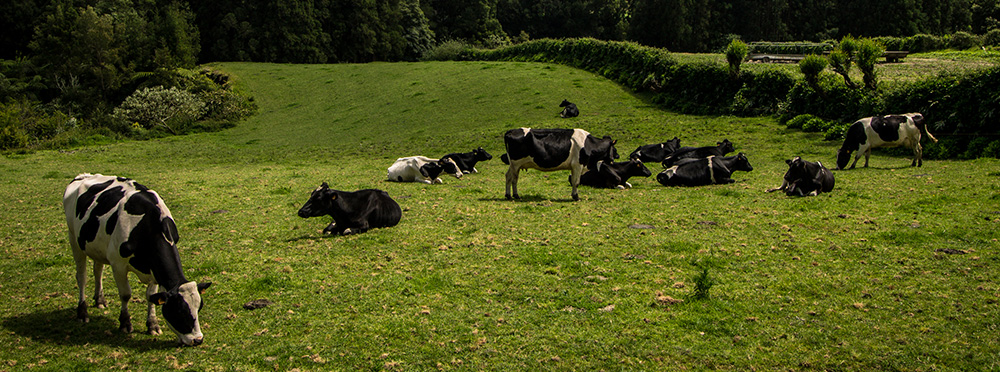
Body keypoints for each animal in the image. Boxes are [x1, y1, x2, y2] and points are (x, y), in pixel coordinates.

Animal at [63, 174, 211, 346]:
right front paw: (125, 323)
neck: (149, 224)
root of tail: (82, 176)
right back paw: (82, 312)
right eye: (178, 311)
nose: (197, 340)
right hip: (74, 240)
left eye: (199, 308)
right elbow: (125, 294)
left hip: (96, 246)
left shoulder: (153, 268)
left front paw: (152, 324)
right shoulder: (118, 265)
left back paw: (99, 300)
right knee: (82, 277)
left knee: (98, 270)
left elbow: (150, 296)